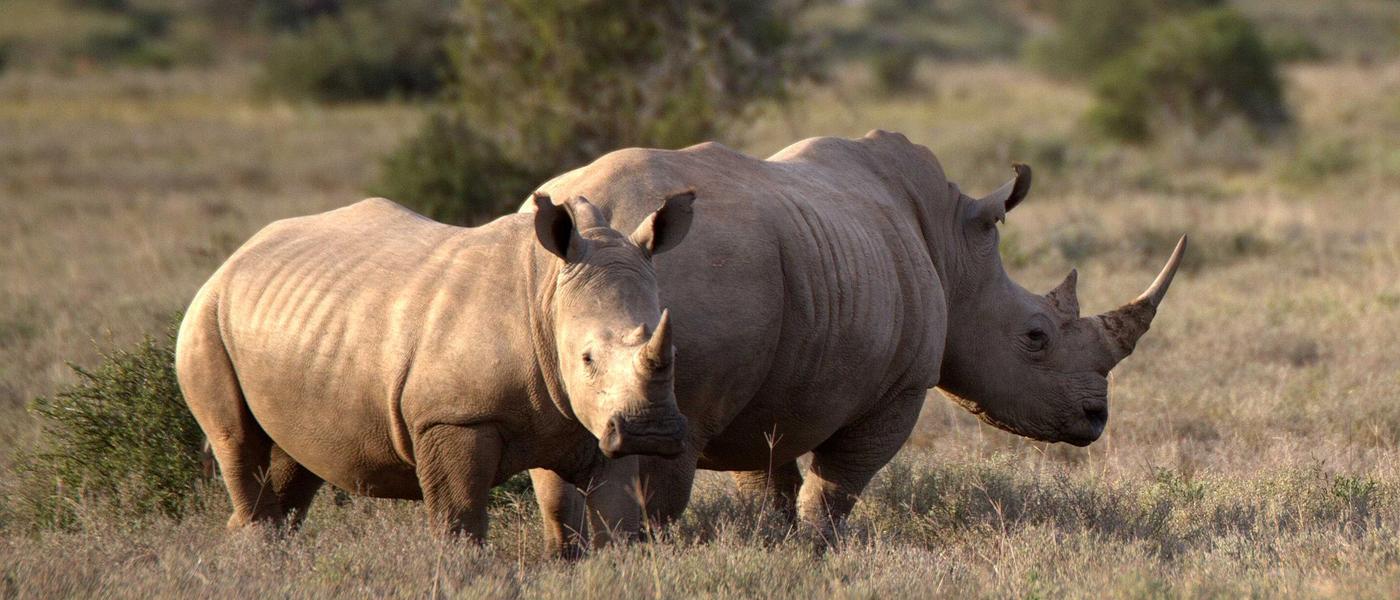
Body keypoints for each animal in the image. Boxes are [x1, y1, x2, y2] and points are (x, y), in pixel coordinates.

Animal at [175, 192, 695, 543]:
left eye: (673, 353)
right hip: (206, 318)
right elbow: (459, 519)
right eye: (587, 358)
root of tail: (234, 258)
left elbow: (616, 522)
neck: (548, 294)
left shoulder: (598, 421)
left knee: (291, 466)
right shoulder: (452, 417)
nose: (651, 432)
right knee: (238, 444)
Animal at [523, 130, 1185, 552]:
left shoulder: (773, 389)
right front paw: (820, 552)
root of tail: (605, 222)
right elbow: (836, 488)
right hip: (691, 280)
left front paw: (775, 546)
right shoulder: (900, 388)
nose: (1095, 418)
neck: (955, 250)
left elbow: (769, 485)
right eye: (1035, 337)